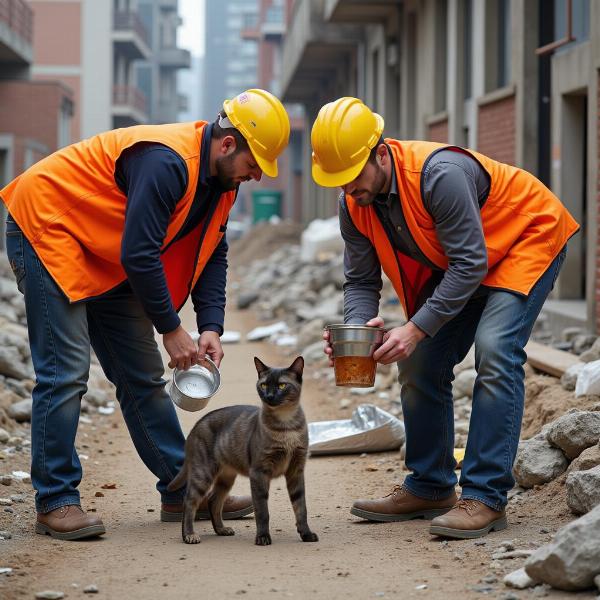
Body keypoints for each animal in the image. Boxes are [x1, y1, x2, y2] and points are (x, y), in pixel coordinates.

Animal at [168, 358, 318, 548]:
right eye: (263, 385)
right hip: (203, 473)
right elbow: (262, 511)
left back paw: (221, 529)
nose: (269, 396)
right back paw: (189, 535)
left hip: (226, 477)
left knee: (213, 500)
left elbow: (301, 508)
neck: (287, 426)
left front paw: (306, 534)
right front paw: (262, 537)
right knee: (189, 501)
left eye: (282, 385)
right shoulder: (259, 472)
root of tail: (198, 423)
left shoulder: (296, 471)